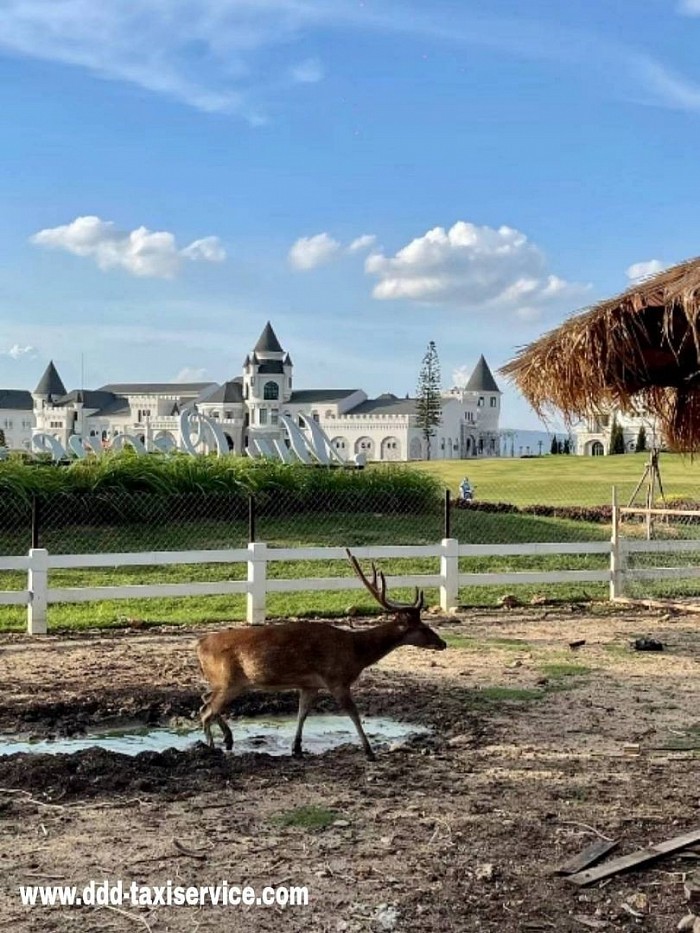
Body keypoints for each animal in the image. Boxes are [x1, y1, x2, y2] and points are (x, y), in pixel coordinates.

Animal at [197, 548, 446, 760]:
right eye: (422, 628)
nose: (443, 643)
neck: (356, 652)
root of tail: (200, 644)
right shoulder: (336, 679)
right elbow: (354, 714)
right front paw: (369, 752)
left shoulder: (310, 684)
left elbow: (302, 713)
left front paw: (296, 747)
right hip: (229, 680)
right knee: (206, 710)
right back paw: (212, 746)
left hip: (227, 682)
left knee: (205, 700)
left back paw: (226, 739)